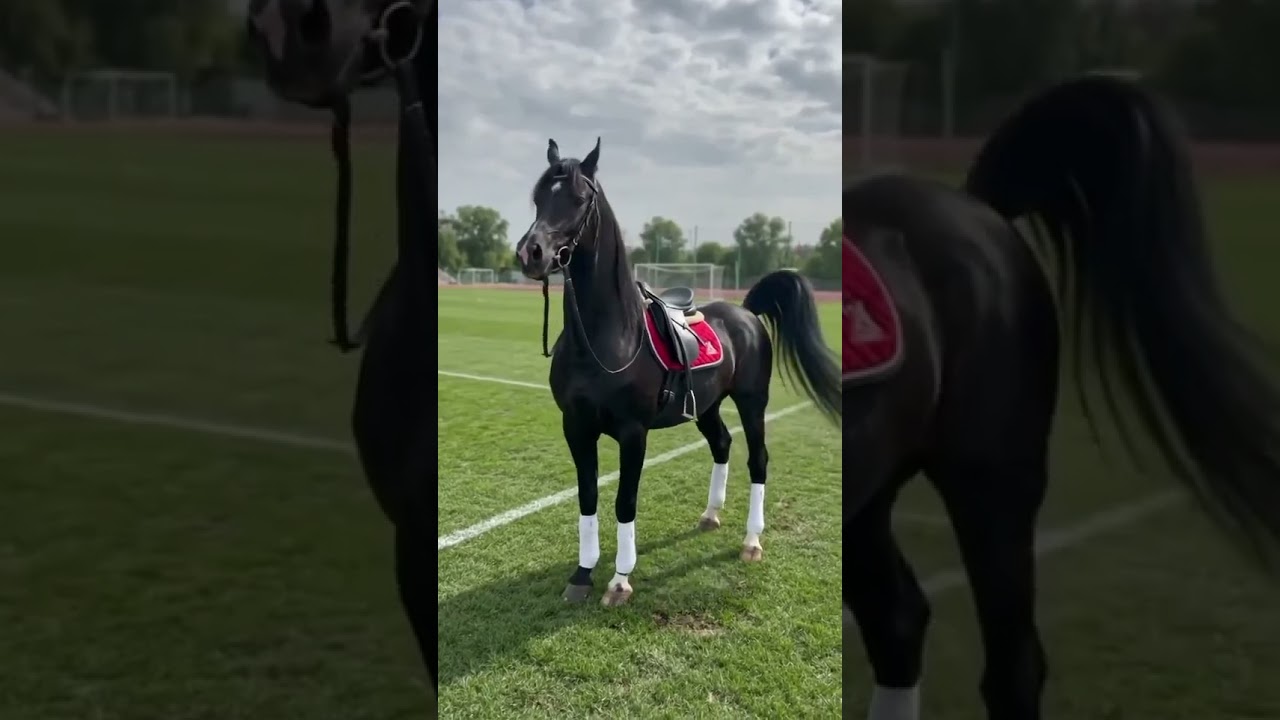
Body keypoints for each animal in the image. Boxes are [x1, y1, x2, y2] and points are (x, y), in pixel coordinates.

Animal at [513, 137, 841, 606]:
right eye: (539, 198)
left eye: (578, 199)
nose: (531, 252)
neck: (608, 339)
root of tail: (745, 312)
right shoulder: (575, 427)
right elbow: (587, 497)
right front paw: (582, 574)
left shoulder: (633, 433)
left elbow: (624, 502)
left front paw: (619, 581)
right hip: (707, 407)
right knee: (722, 445)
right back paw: (710, 516)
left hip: (752, 402)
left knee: (758, 459)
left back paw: (751, 541)